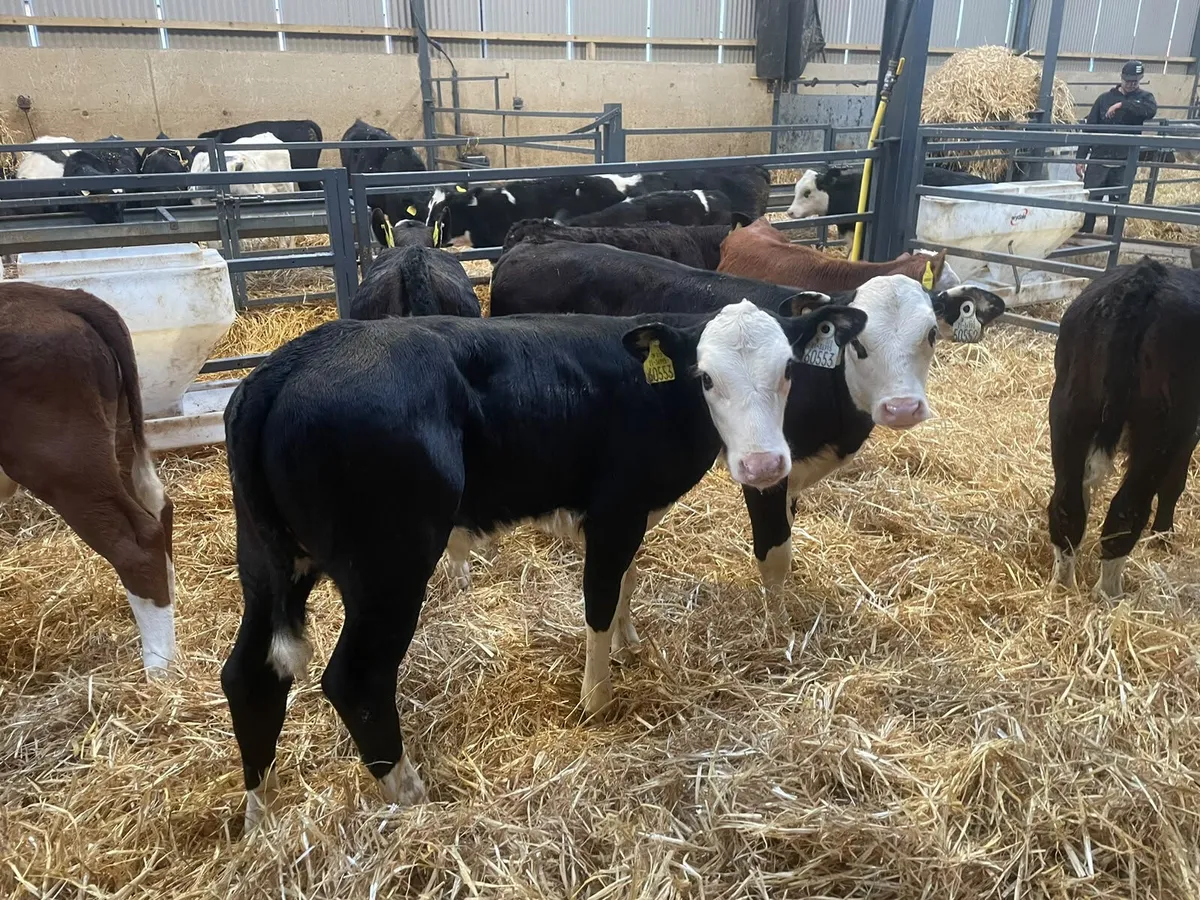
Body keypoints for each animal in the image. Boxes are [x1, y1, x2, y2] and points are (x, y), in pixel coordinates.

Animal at [0, 282, 175, 675]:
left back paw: (159, 668)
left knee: (137, 544)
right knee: (159, 509)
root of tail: (59, 296)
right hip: (118, 441)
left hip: (67, 466)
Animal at [219, 299, 867, 829]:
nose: (764, 466)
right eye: (706, 377)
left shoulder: (627, 516)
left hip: (267, 562)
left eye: (787, 371)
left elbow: (627, 580)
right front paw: (596, 699)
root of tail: (293, 361)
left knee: (250, 675)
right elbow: (601, 597)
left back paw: (261, 818)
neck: (651, 392)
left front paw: (630, 644)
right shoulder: (616, 509)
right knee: (356, 679)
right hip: (387, 568)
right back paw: (412, 797)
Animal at [488, 240, 1006, 593]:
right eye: (857, 342)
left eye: (931, 334)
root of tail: (531, 246)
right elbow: (774, 551)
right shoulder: (764, 466)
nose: (901, 408)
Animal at [1048, 259, 1200, 599]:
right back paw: (1110, 595)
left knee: (1067, 506)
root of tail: (1144, 280)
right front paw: (1163, 535)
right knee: (1126, 513)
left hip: (1069, 411)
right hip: (1162, 430)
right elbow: (1174, 484)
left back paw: (1063, 587)